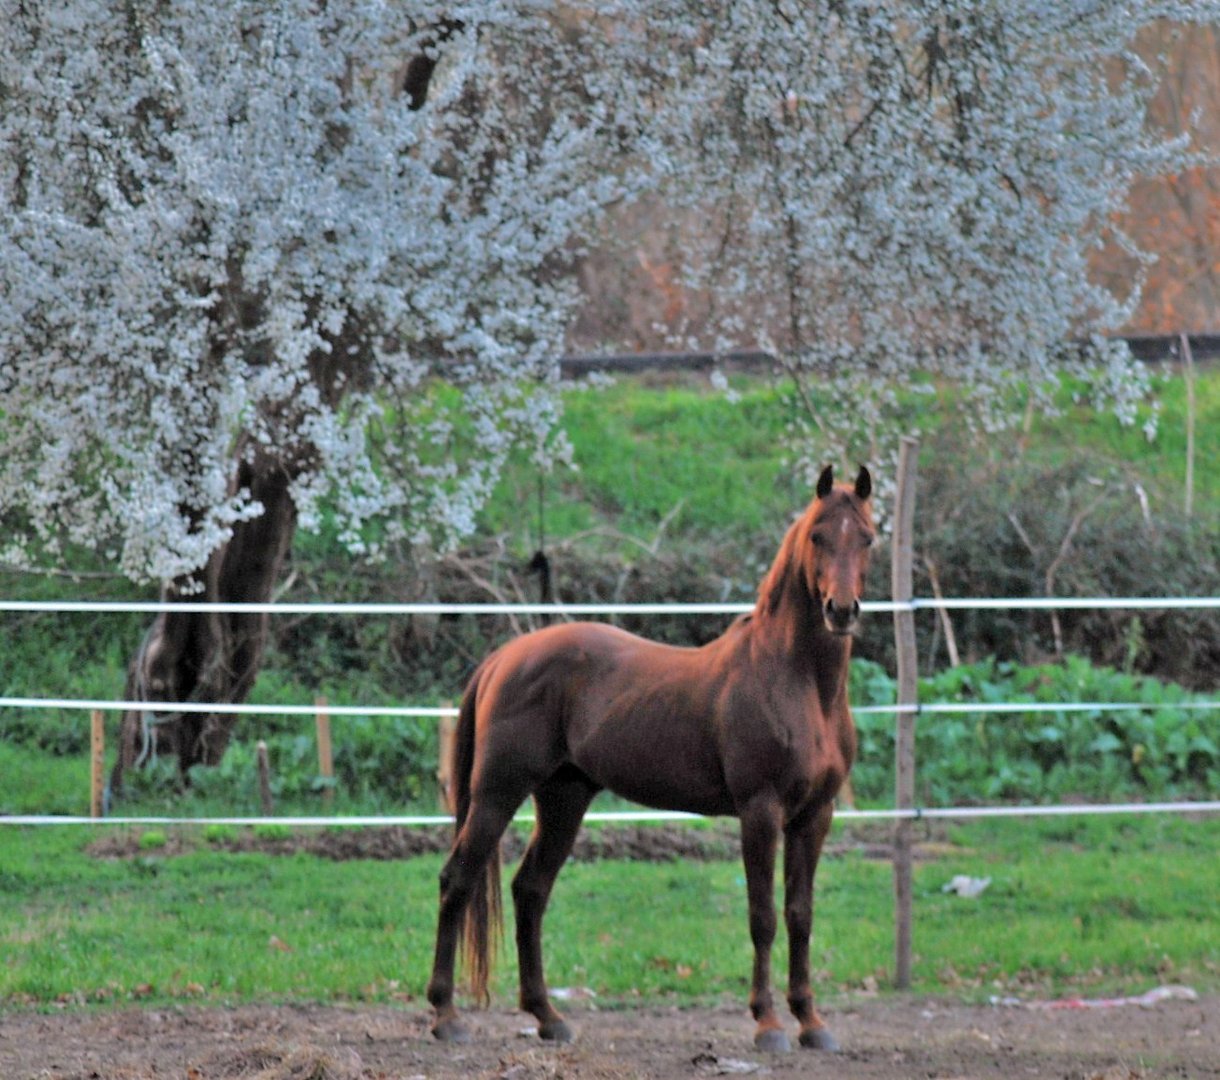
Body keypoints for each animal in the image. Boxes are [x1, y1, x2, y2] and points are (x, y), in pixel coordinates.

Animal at [429, 466, 878, 1054]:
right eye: (818, 537)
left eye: (867, 538)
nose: (841, 611)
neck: (797, 683)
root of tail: (507, 656)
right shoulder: (760, 812)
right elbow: (763, 917)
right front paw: (768, 1024)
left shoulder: (815, 816)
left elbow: (799, 915)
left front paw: (811, 1022)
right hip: (497, 794)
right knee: (457, 879)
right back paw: (446, 1016)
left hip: (564, 797)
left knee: (530, 891)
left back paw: (549, 1017)